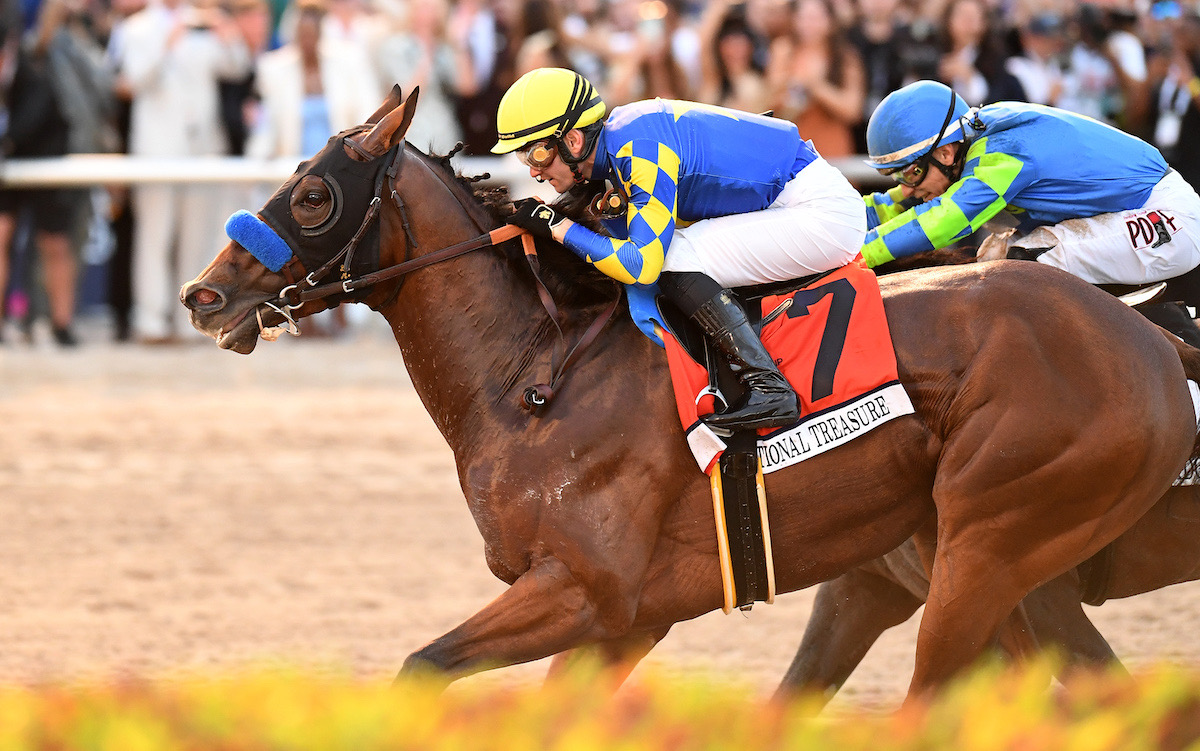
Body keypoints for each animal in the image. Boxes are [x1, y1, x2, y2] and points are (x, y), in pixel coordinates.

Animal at [180, 89, 1200, 700]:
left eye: (313, 196)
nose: (204, 294)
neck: (535, 375)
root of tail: (1149, 345)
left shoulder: (588, 591)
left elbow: (420, 667)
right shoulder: (635, 616)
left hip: (993, 545)